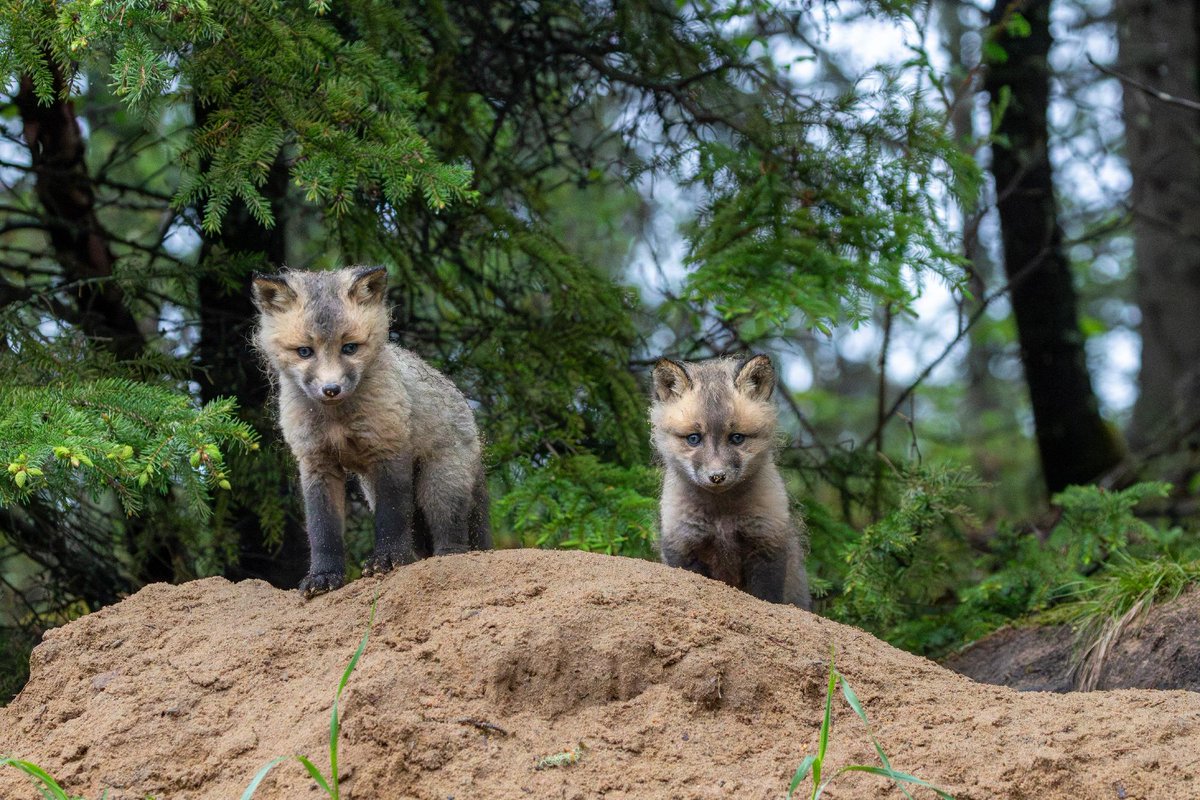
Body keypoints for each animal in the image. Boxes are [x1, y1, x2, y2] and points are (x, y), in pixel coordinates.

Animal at [251, 266, 491, 597]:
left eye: (350, 347)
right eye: (304, 352)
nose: (331, 389)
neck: (338, 420)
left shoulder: (389, 451)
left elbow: (392, 518)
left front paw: (387, 560)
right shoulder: (317, 463)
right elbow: (322, 530)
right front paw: (324, 576)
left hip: (439, 486)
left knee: (453, 534)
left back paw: (446, 558)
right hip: (376, 490)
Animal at [650, 354, 810, 609]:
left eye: (736, 438)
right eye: (694, 438)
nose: (717, 476)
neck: (722, 517)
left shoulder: (766, 542)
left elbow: (766, 597)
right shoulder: (684, 545)